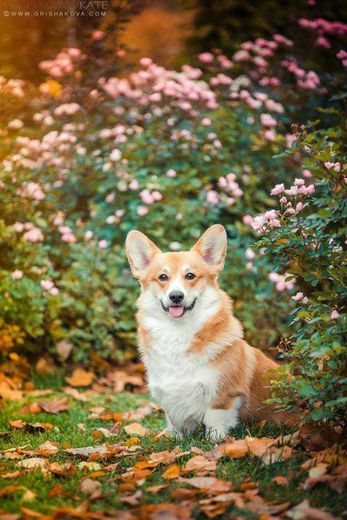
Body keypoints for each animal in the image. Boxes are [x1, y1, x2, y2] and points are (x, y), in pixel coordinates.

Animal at [126, 224, 286, 438]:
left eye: (190, 276)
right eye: (162, 277)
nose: (176, 296)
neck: (178, 332)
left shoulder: (223, 395)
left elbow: (214, 419)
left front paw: (216, 441)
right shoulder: (170, 400)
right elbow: (175, 424)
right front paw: (176, 439)